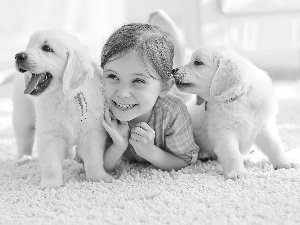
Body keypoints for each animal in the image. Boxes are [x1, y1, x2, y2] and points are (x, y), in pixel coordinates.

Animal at [13, 29, 112, 188]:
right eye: (29, 46)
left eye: (47, 48)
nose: (18, 56)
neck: (64, 96)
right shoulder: (49, 135)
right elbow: (51, 163)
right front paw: (50, 184)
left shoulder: (92, 131)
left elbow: (94, 159)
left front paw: (99, 177)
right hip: (22, 116)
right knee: (24, 139)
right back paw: (23, 159)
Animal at [172, 45, 298, 179]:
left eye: (197, 62)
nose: (173, 70)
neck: (237, 100)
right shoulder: (224, 132)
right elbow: (232, 153)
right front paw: (236, 172)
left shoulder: (264, 126)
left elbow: (275, 147)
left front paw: (284, 163)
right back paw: (203, 154)